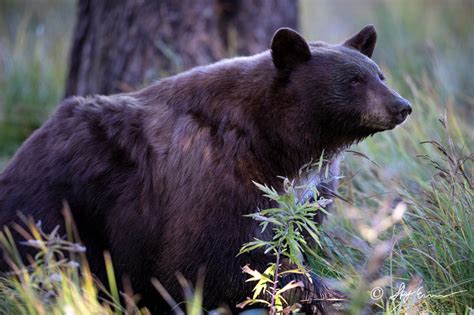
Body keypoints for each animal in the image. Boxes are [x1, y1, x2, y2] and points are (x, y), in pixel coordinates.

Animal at [0, 25, 412, 314]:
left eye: (379, 75)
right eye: (354, 80)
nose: (402, 106)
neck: (276, 141)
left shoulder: (311, 193)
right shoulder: (213, 172)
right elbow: (213, 261)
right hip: (56, 206)